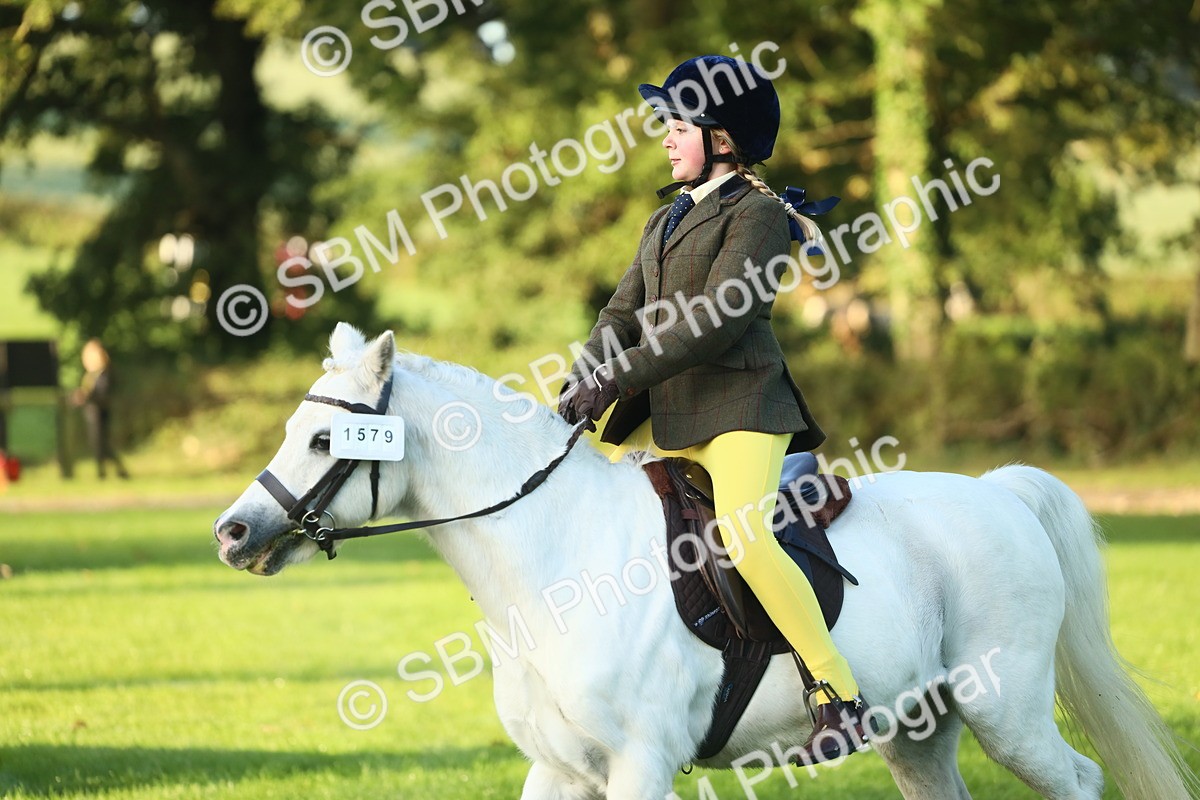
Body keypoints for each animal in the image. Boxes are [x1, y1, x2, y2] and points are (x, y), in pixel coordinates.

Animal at [214, 324, 1197, 800]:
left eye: (322, 439)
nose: (232, 533)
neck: (554, 562)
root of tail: (1000, 492)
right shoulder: (561, 771)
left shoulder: (640, 765)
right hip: (919, 731)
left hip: (1009, 711)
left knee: (1079, 780)